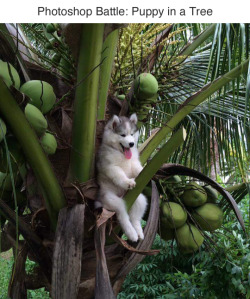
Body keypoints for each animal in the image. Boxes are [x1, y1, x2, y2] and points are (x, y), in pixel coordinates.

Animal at [96, 113, 147, 243]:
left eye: (132, 134)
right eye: (123, 135)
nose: (131, 144)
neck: (121, 154)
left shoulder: (133, 163)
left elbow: (137, 169)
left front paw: (144, 170)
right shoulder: (111, 167)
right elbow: (119, 175)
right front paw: (128, 182)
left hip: (139, 199)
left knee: (135, 217)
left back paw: (139, 232)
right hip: (111, 200)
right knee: (123, 215)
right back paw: (132, 234)